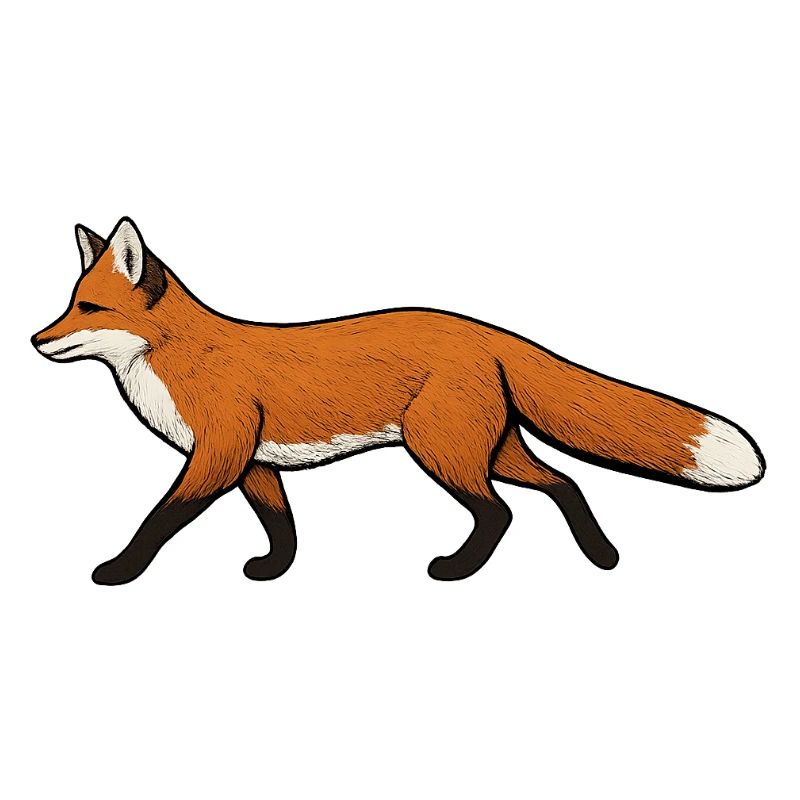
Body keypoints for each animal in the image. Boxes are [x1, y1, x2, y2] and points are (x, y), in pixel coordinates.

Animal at [32, 217, 765, 585]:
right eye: (67, 305)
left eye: (88, 309)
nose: (36, 339)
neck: (180, 359)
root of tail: (486, 330)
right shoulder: (255, 462)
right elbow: (281, 524)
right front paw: (273, 571)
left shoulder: (218, 453)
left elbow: (158, 520)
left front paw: (118, 571)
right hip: (488, 448)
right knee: (565, 483)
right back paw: (602, 557)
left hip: (440, 449)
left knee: (499, 513)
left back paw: (458, 570)